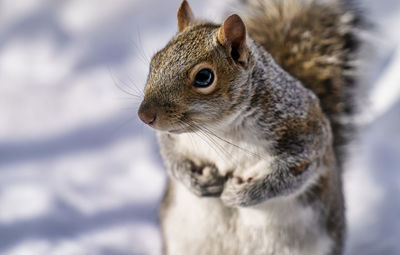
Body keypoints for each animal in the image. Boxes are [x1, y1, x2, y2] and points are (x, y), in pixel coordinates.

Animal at [138, 0, 360, 254]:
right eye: (155, 61)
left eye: (204, 77)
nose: (144, 115)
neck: (219, 129)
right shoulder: (173, 138)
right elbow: (171, 158)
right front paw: (198, 182)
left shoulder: (305, 131)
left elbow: (291, 174)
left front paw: (240, 195)